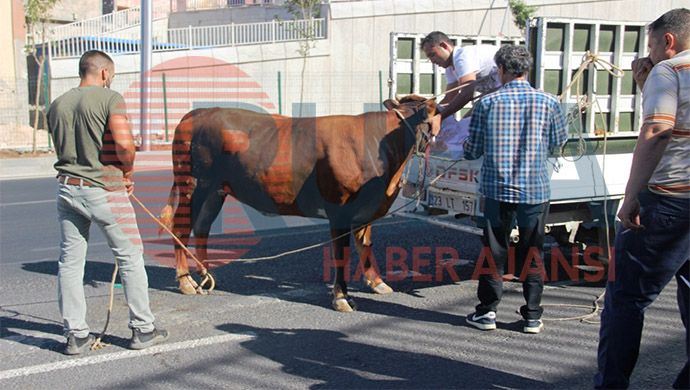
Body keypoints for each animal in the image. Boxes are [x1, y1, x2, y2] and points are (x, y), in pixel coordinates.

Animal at [161, 94, 438, 310]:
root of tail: (198, 113)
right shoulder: (340, 208)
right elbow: (342, 254)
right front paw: (342, 297)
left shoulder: (366, 207)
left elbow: (365, 245)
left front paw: (377, 282)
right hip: (194, 184)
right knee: (180, 228)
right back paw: (185, 281)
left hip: (215, 191)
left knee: (202, 228)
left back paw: (206, 274)